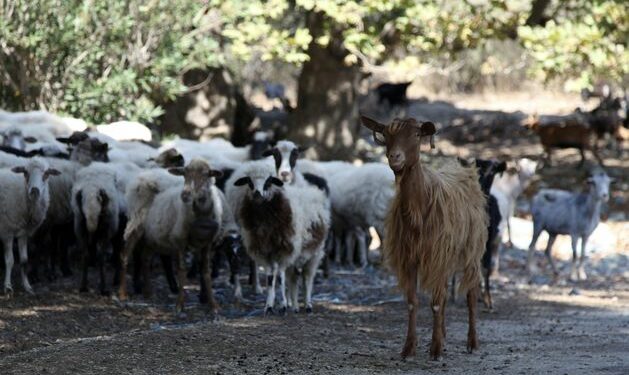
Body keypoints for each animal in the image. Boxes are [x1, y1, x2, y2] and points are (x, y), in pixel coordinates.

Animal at [358, 117, 486, 362]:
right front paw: (409, 348)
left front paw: (435, 350)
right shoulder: (409, 257)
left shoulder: (436, 254)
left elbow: (435, 303)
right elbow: (412, 302)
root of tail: (463, 169)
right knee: (444, 293)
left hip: (471, 251)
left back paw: (473, 343)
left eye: (417, 135)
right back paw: (444, 335)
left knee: (471, 293)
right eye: (386, 135)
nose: (394, 157)